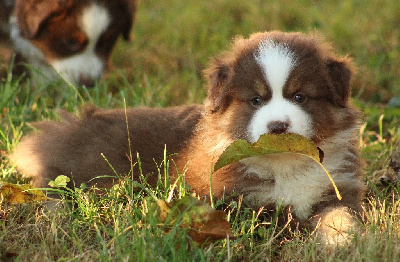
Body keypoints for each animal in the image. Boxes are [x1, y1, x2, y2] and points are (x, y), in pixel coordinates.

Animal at [9, 31, 366, 246]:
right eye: (255, 100)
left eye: (300, 97)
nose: (278, 126)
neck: (285, 164)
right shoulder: (237, 201)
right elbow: (279, 220)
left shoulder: (338, 187)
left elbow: (339, 215)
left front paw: (344, 239)